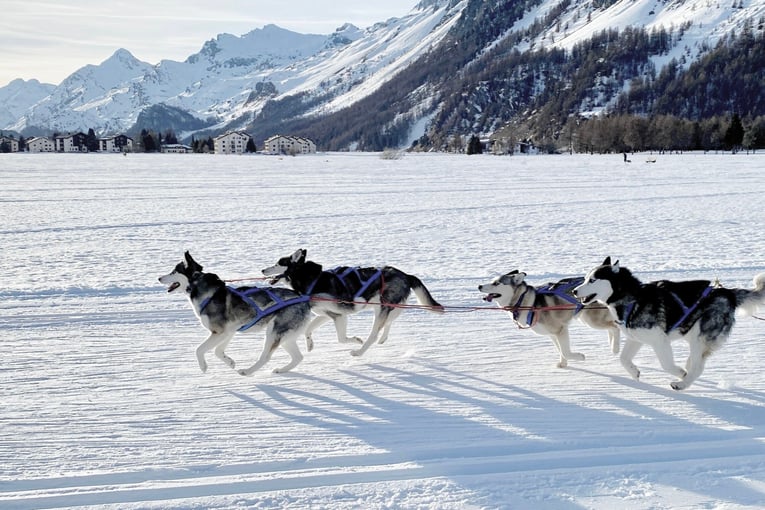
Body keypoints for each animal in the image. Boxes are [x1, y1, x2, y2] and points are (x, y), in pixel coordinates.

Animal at [158, 251, 314, 374]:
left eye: (174, 271)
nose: (159, 278)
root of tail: (304, 299)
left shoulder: (219, 332)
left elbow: (199, 349)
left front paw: (203, 366)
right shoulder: (228, 332)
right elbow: (218, 351)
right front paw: (230, 362)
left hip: (274, 332)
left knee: (266, 357)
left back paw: (248, 371)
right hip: (285, 336)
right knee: (298, 357)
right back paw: (281, 370)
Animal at [262, 249, 442, 356]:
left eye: (278, 263)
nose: (263, 270)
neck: (312, 280)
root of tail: (405, 275)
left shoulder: (340, 314)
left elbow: (342, 338)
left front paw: (355, 340)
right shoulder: (327, 314)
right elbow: (308, 329)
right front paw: (310, 344)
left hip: (382, 308)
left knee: (374, 333)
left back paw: (360, 351)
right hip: (386, 307)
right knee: (388, 323)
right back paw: (383, 338)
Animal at [478, 270, 620, 366]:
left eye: (496, 283)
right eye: (492, 281)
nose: (479, 286)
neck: (526, 301)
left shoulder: (560, 330)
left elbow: (565, 351)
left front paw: (579, 357)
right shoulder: (553, 334)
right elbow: (561, 350)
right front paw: (563, 364)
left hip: (592, 320)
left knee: (615, 326)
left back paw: (615, 348)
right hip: (587, 318)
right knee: (611, 327)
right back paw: (612, 344)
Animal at [572, 255, 764, 390]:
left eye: (592, 280)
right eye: (585, 278)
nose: (574, 291)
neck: (633, 299)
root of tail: (728, 293)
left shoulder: (660, 340)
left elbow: (666, 364)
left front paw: (680, 373)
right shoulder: (636, 339)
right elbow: (623, 358)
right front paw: (634, 372)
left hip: (699, 337)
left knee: (697, 367)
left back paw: (682, 383)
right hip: (692, 335)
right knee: (697, 361)